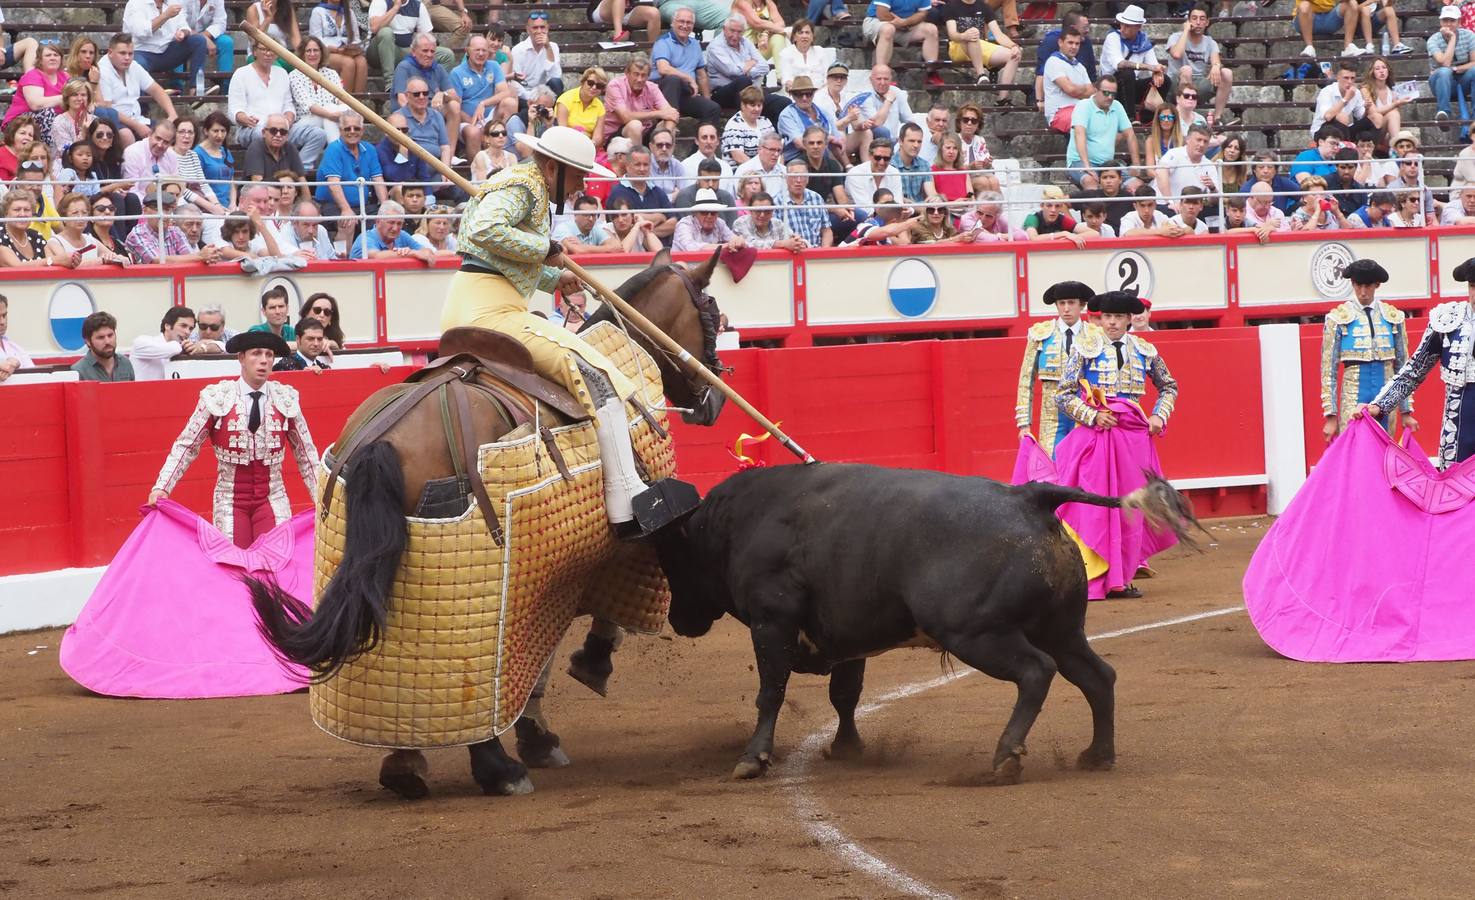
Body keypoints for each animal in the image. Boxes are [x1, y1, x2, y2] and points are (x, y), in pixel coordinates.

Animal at [250, 249, 728, 796]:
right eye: (712, 314)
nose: (717, 399)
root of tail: (381, 441)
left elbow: (539, 658)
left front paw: (539, 733)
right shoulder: (617, 547)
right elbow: (587, 626)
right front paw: (587, 670)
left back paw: (405, 766)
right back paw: (498, 768)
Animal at [651, 460, 1191, 779]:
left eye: (673, 561)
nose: (679, 621)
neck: (738, 520)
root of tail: (1028, 499)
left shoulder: (772, 622)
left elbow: (771, 692)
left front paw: (752, 759)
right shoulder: (850, 635)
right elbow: (845, 695)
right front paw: (847, 748)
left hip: (976, 631)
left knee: (1037, 672)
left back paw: (1006, 756)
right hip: (1061, 629)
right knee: (1097, 676)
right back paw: (1096, 755)